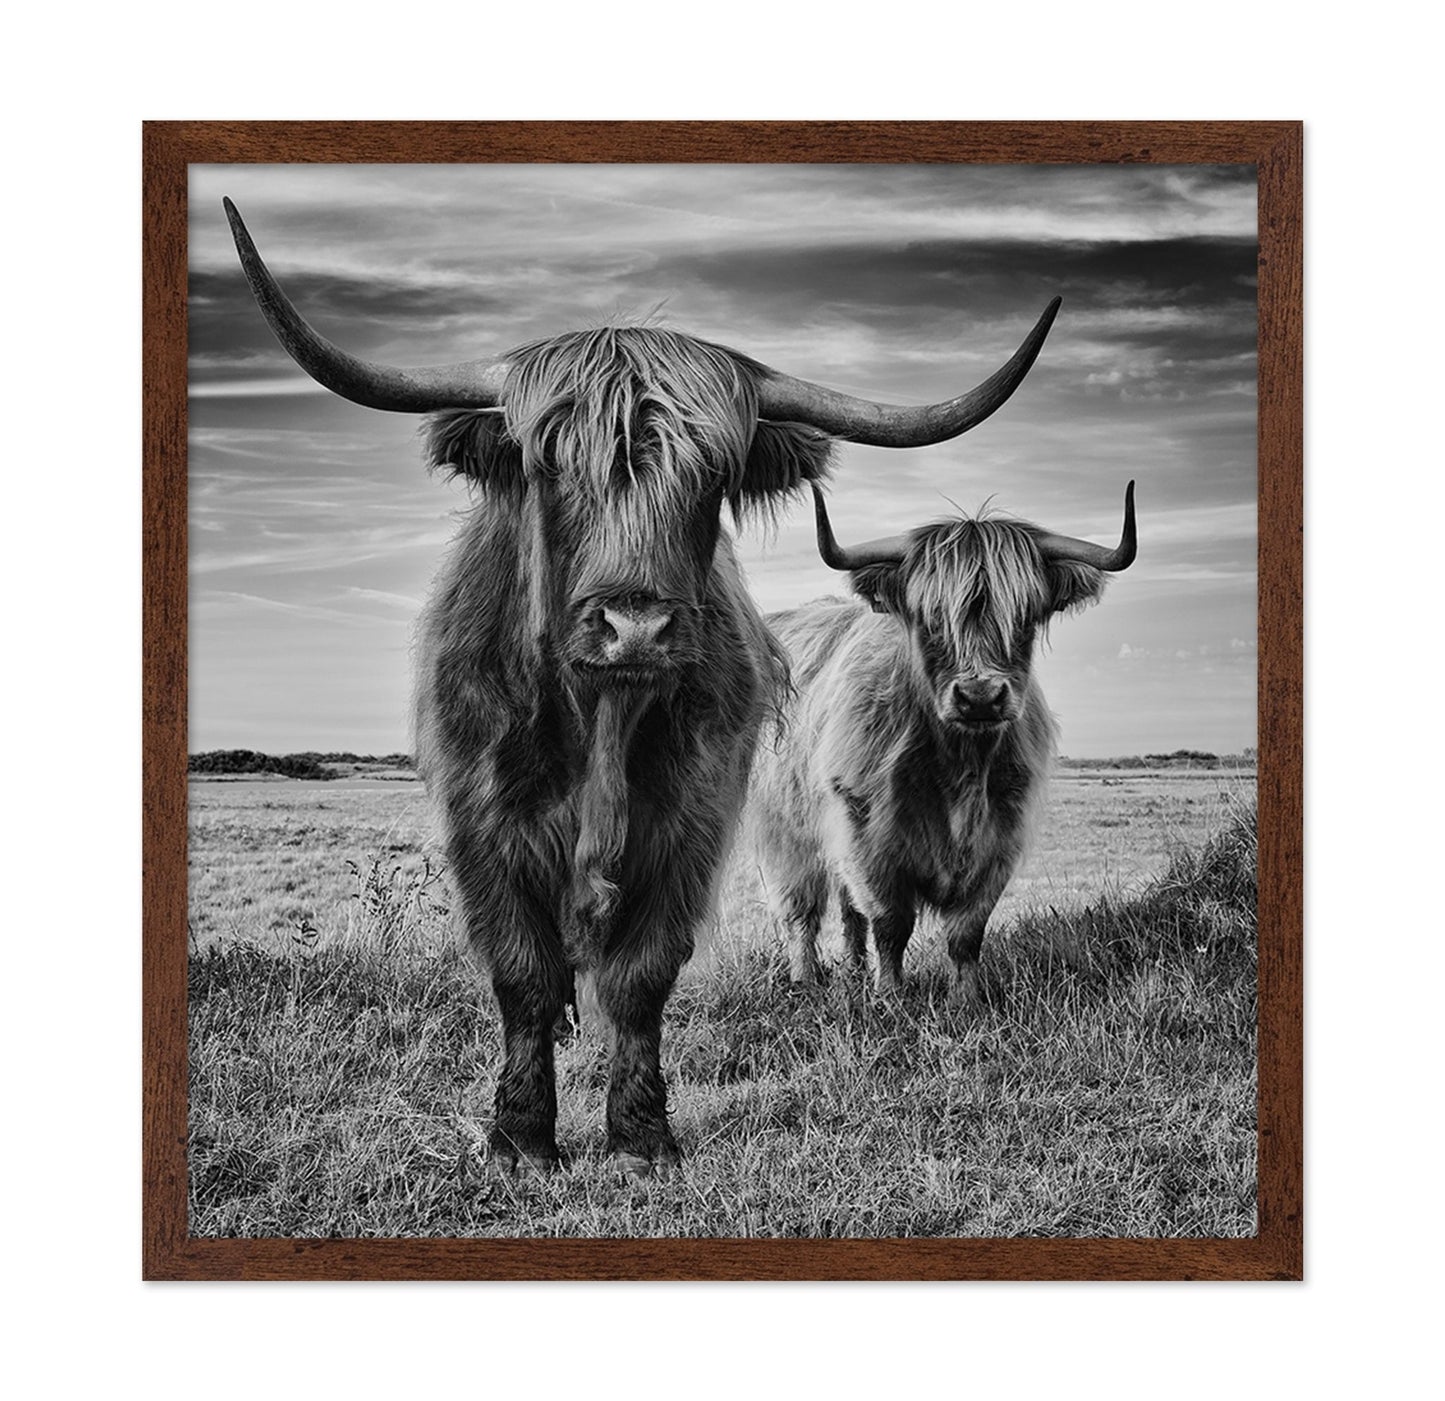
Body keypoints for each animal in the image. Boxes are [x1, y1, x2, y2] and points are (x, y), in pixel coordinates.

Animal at [223, 198, 1061, 1172]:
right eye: (550, 465)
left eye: (712, 476)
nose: (634, 626)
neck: (601, 721)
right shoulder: (481, 824)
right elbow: (523, 972)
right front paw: (520, 1139)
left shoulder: (692, 820)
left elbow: (642, 974)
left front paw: (640, 1135)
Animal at [749, 481, 1136, 1008]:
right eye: (930, 619)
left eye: (1025, 618)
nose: (980, 697)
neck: (960, 766)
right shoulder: (867, 836)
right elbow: (891, 922)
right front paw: (891, 996)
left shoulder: (1000, 838)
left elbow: (966, 931)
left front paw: (965, 1000)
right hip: (786, 830)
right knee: (802, 909)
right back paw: (806, 978)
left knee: (848, 912)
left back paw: (853, 971)